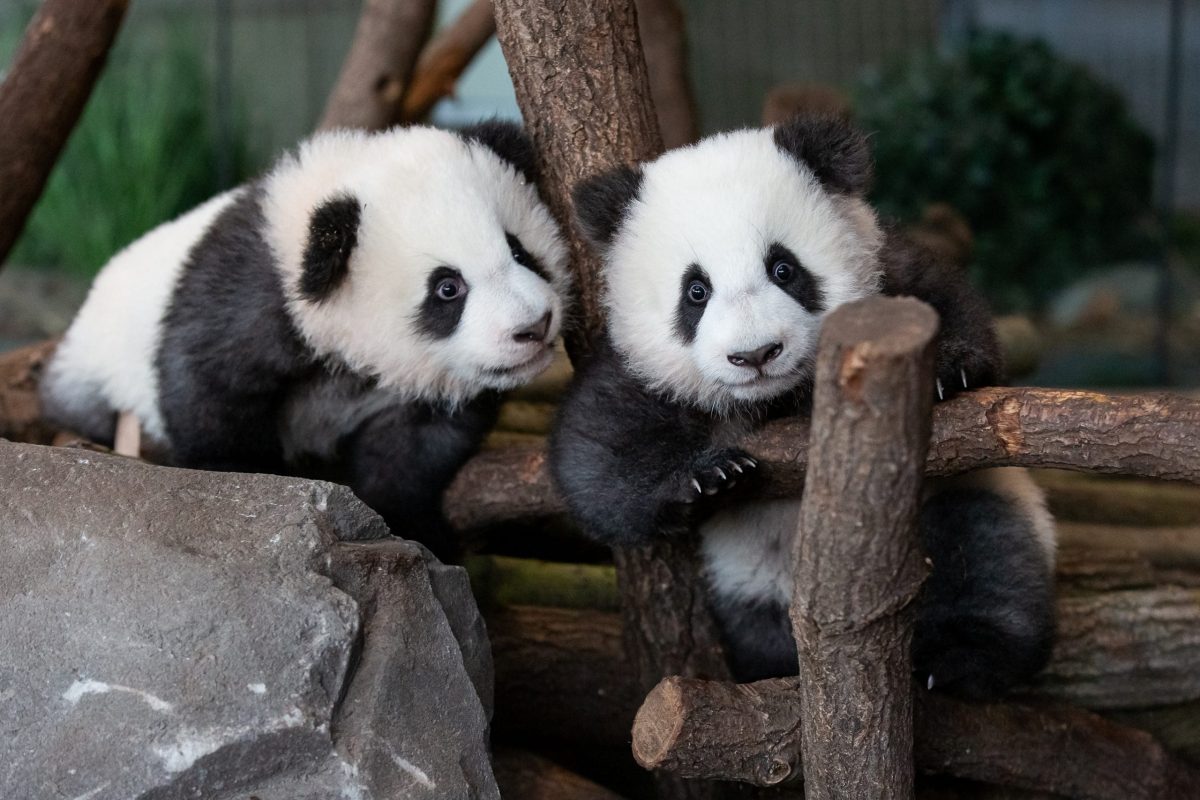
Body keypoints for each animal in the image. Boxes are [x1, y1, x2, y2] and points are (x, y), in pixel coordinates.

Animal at [42, 121, 570, 559]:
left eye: (519, 250)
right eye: (447, 288)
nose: (534, 325)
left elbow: (413, 450)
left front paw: (412, 529)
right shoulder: (250, 296)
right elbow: (207, 385)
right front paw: (246, 487)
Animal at [550, 115, 1057, 698]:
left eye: (783, 269)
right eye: (695, 291)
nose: (755, 354)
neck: (777, 398)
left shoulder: (887, 276)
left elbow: (944, 302)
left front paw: (951, 369)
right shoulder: (635, 367)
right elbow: (595, 459)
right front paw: (709, 478)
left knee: (985, 551)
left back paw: (960, 659)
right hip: (749, 575)